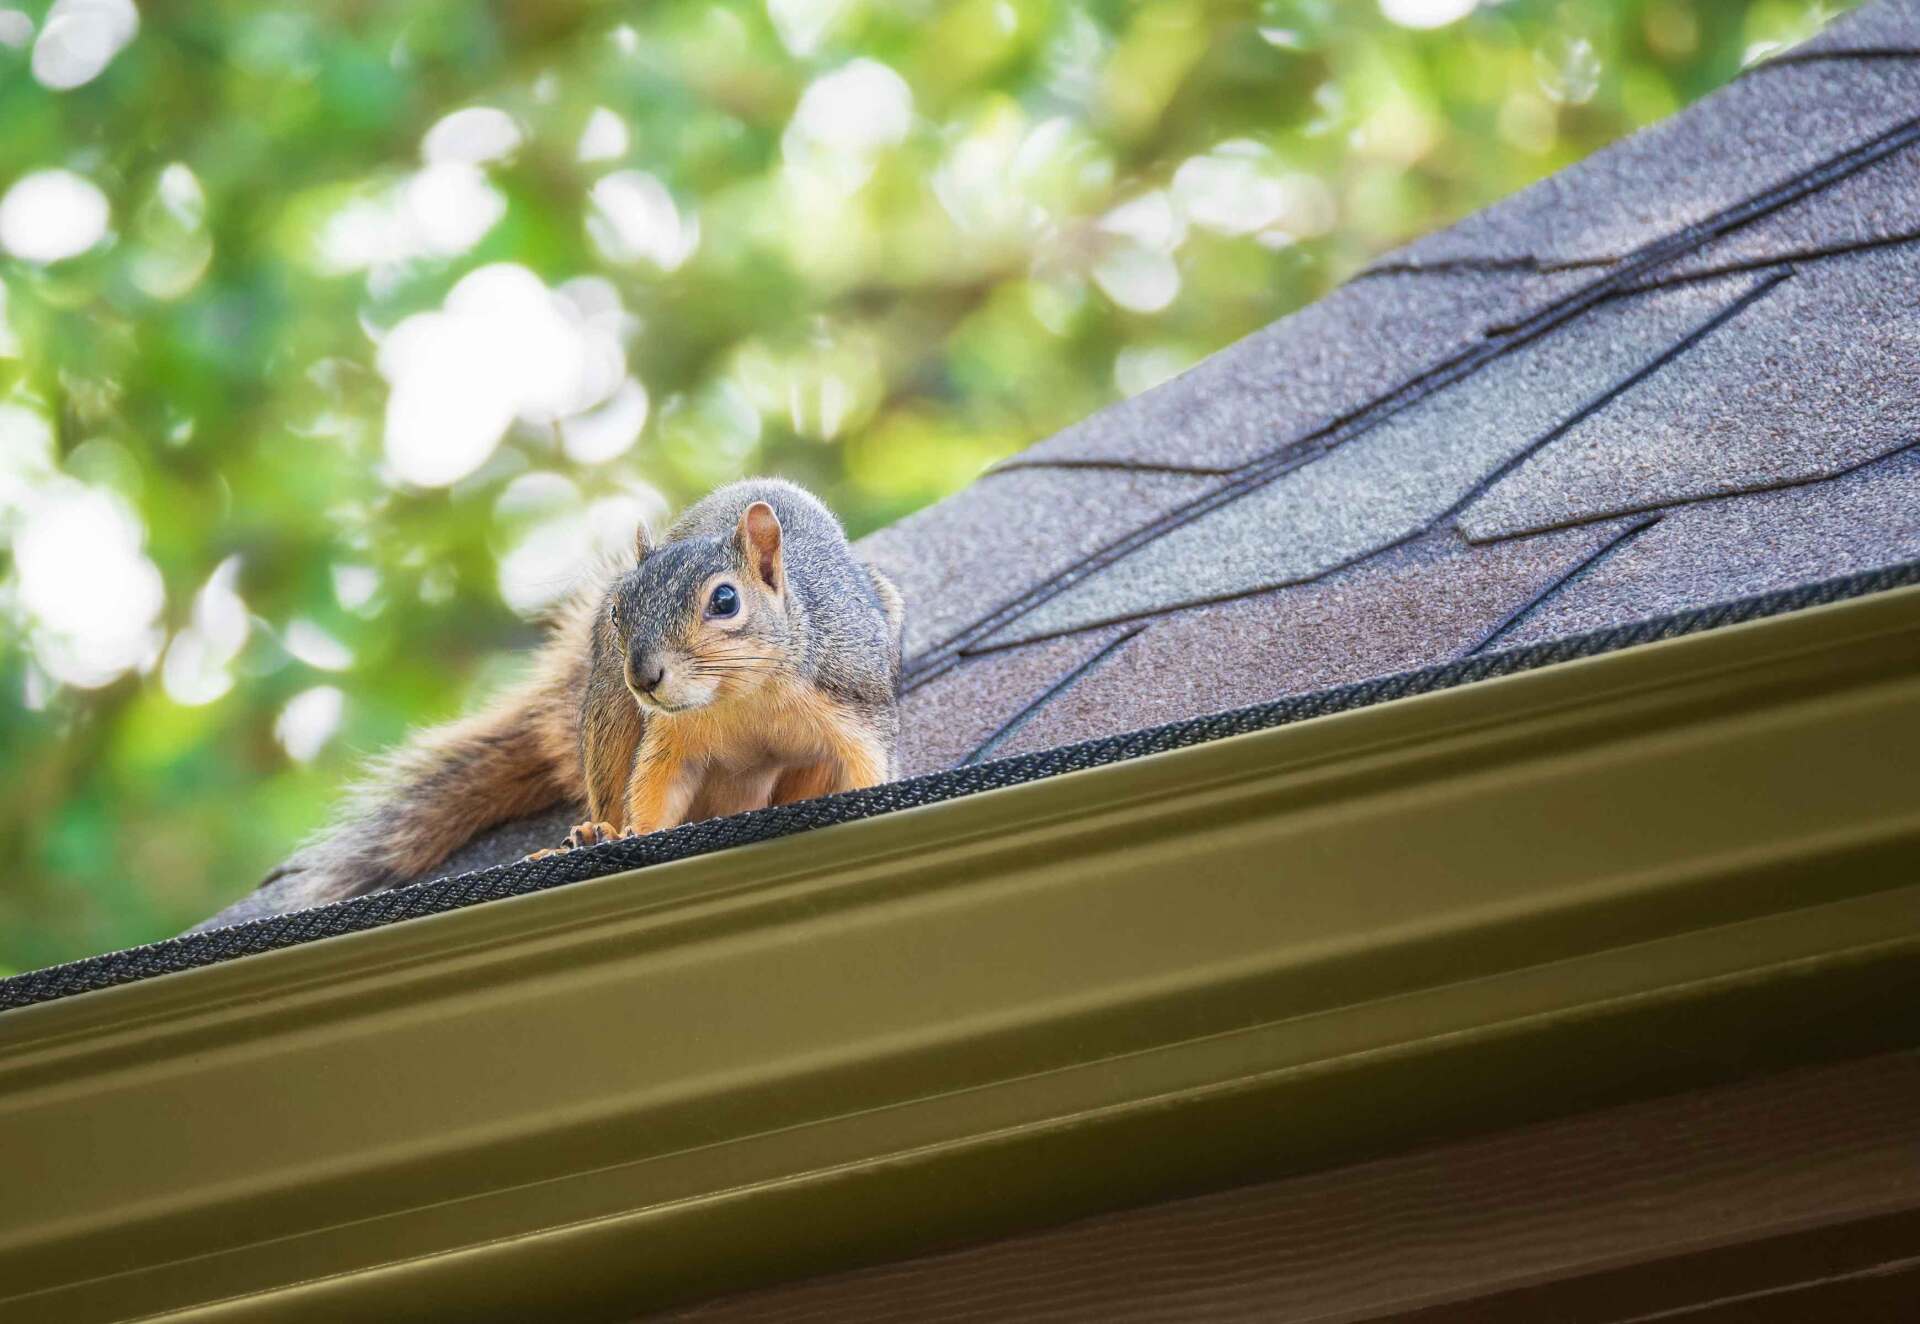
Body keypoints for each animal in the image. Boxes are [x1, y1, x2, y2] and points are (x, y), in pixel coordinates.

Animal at [236, 479, 904, 915]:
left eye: (725, 600)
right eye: (618, 609)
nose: (644, 677)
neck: (743, 696)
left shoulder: (854, 703)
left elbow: (869, 765)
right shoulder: (671, 736)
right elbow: (656, 787)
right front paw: (632, 834)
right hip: (608, 718)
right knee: (610, 781)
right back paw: (595, 831)